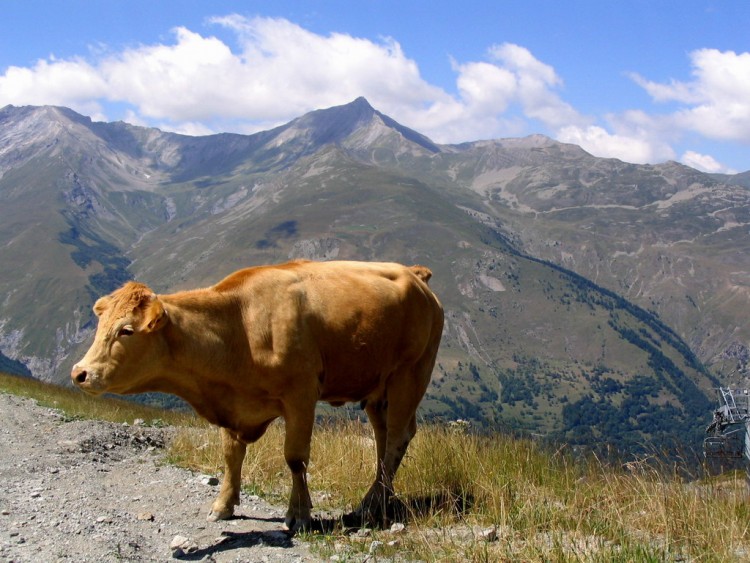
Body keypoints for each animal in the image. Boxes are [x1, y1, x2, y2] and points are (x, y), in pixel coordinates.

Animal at [70, 260, 444, 532]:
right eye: (101, 326)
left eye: (126, 331)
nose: (79, 373)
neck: (239, 327)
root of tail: (414, 273)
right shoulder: (233, 405)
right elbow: (230, 455)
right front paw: (223, 505)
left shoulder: (300, 395)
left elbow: (295, 458)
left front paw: (299, 514)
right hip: (377, 388)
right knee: (383, 437)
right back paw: (376, 497)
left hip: (411, 374)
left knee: (398, 436)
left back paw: (373, 503)